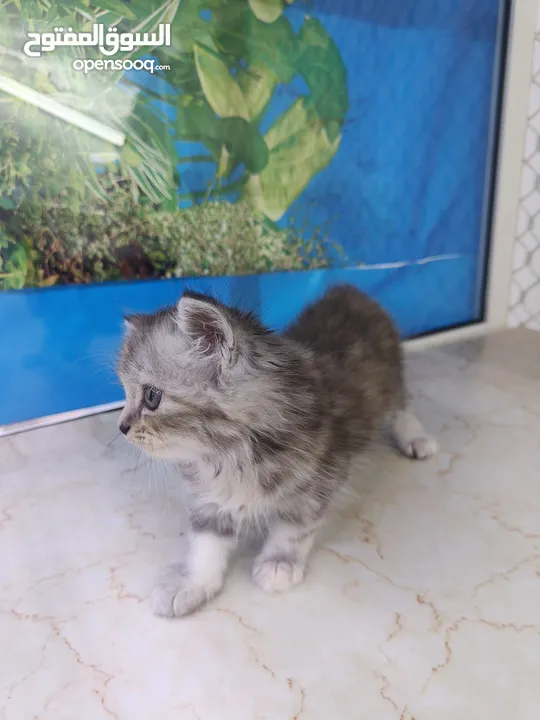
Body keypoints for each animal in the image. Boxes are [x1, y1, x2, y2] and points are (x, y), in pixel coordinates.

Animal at [116, 286, 436, 620]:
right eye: (125, 393)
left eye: (152, 397)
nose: (121, 427)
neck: (231, 453)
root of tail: (349, 291)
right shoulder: (211, 499)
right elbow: (205, 543)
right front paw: (191, 584)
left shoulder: (319, 478)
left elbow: (294, 526)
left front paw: (279, 562)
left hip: (392, 383)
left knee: (401, 409)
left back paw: (416, 439)